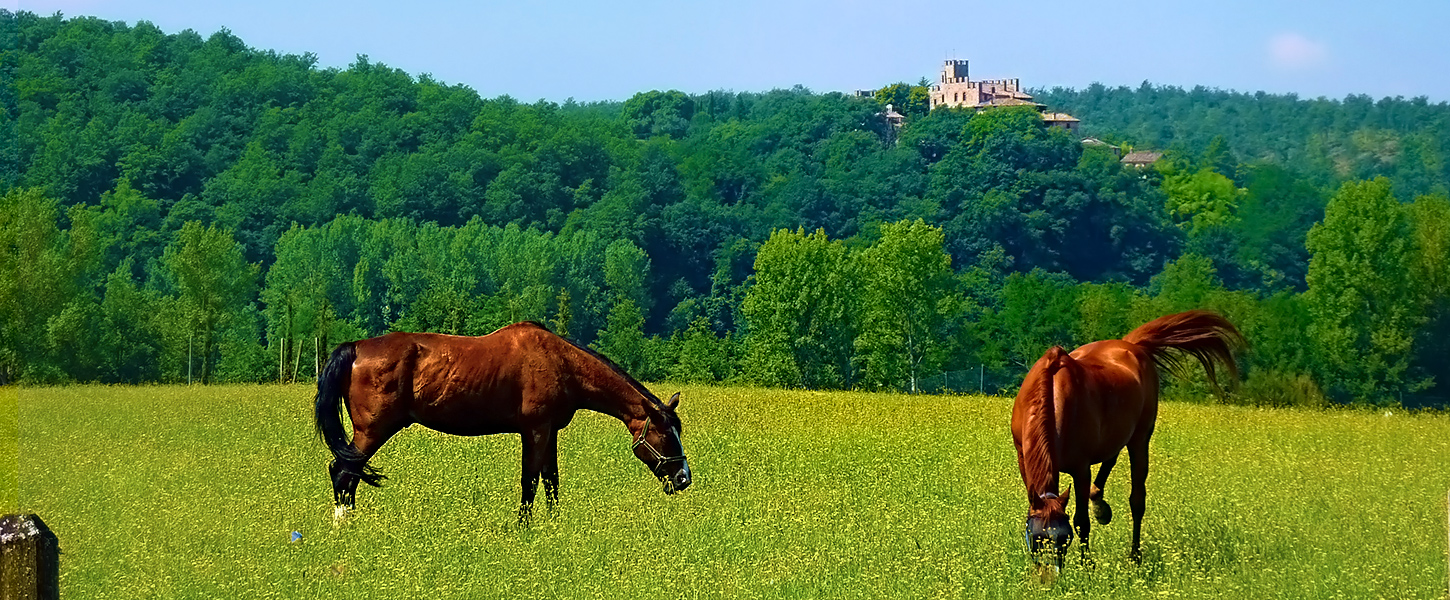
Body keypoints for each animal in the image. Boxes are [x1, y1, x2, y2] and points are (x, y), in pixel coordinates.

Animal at [310, 321, 690, 521]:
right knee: (343, 473)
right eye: (665, 434)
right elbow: (530, 482)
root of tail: (356, 348)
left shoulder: (549, 431)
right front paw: (524, 528)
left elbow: (551, 481)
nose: (684, 478)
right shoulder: (534, 430)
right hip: (372, 430)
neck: (561, 363)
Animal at [1009, 308, 1247, 568]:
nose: (1050, 573)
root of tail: (1131, 345)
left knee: (1137, 499)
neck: (1053, 393)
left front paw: (1087, 565)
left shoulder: (1081, 469)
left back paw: (1135, 555)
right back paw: (1100, 506)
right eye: (1036, 537)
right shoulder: (1023, 460)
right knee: (1110, 459)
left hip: (1140, 440)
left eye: (1065, 538)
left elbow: (1081, 521)